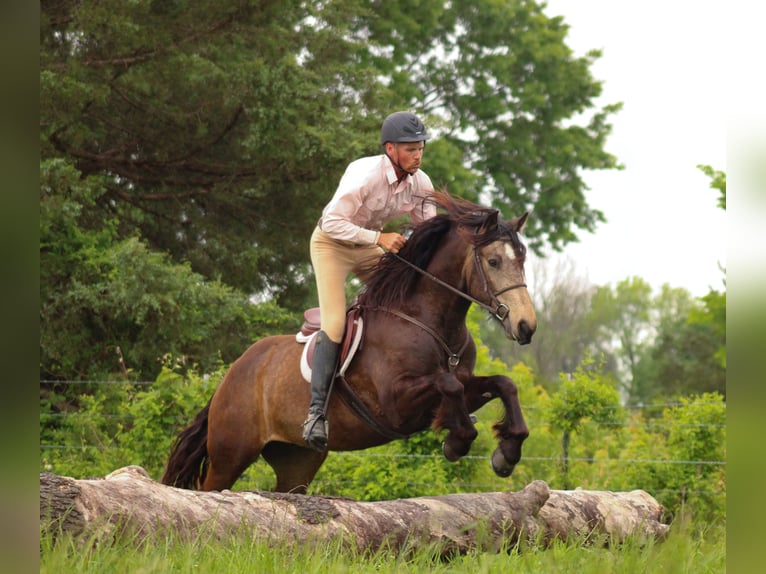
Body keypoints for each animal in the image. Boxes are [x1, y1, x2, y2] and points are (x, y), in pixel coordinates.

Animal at [161, 191, 537, 494]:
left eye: (522, 259)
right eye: (494, 261)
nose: (526, 326)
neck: (429, 321)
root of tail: (232, 374)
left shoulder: (459, 389)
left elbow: (503, 384)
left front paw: (507, 453)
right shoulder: (397, 404)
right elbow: (448, 385)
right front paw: (457, 443)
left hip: (297, 459)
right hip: (231, 453)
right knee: (210, 489)